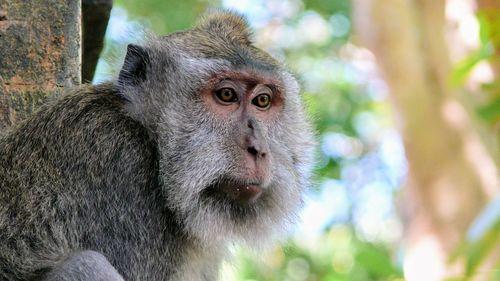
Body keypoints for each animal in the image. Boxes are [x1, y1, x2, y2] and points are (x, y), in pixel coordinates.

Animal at [0, 9, 312, 278]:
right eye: (226, 95)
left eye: (263, 101)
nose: (258, 149)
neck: (154, 146)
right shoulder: (120, 170)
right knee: (83, 264)